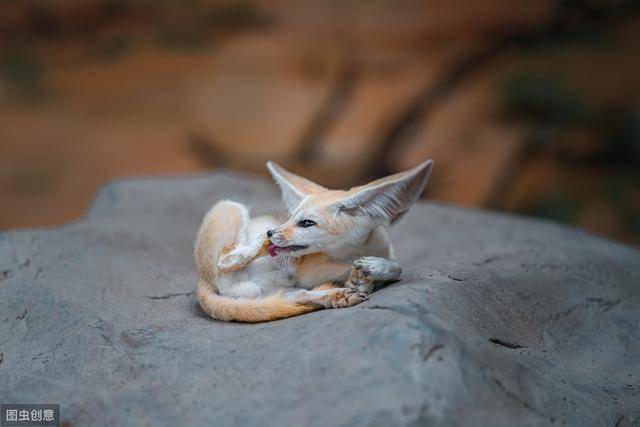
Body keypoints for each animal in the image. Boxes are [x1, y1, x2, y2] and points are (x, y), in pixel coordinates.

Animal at [195, 159, 436, 322]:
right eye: (290, 217)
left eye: (307, 223)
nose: (271, 232)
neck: (359, 249)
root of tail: (202, 282)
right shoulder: (309, 271)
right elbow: (397, 266)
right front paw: (367, 274)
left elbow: (395, 266)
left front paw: (369, 273)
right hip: (230, 207)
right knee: (226, 260)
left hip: (278, 290)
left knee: (297, 297)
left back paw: (336, 295)